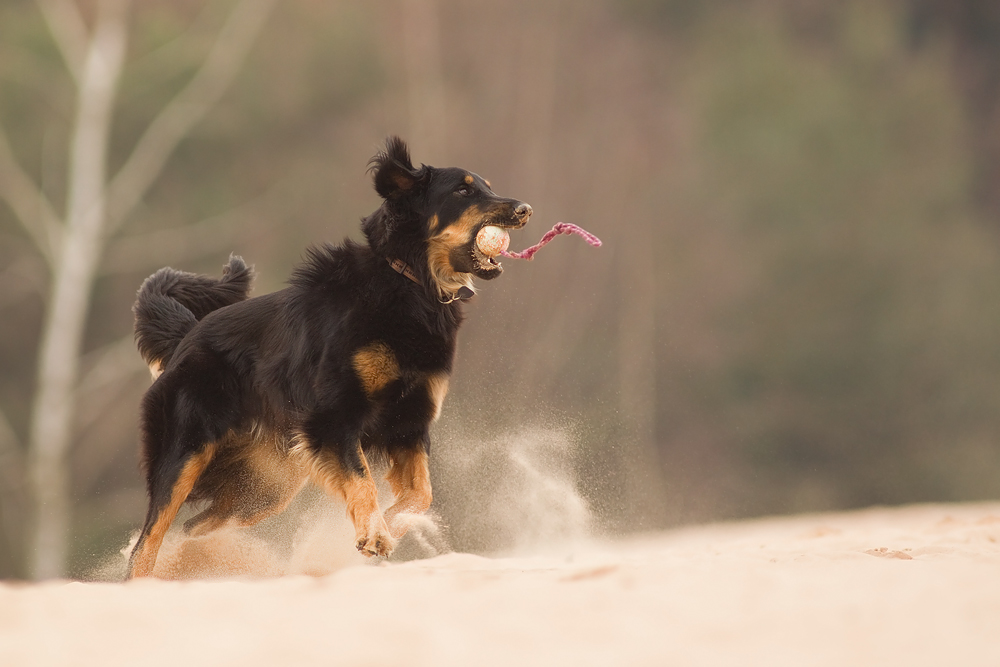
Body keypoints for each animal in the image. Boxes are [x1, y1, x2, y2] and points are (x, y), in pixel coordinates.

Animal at [127, 137, 532, 580]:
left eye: (487, 186)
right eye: (462, 191)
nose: (525, 209)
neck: (408, 283)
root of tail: (188, 333)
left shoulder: (409, 422)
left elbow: (421, 494)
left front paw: (390, 526)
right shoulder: (335, 418)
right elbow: (363, 479)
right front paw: (374, 534)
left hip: (268, 486)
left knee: (195, 529)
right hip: (186, 453)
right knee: (148, 539)